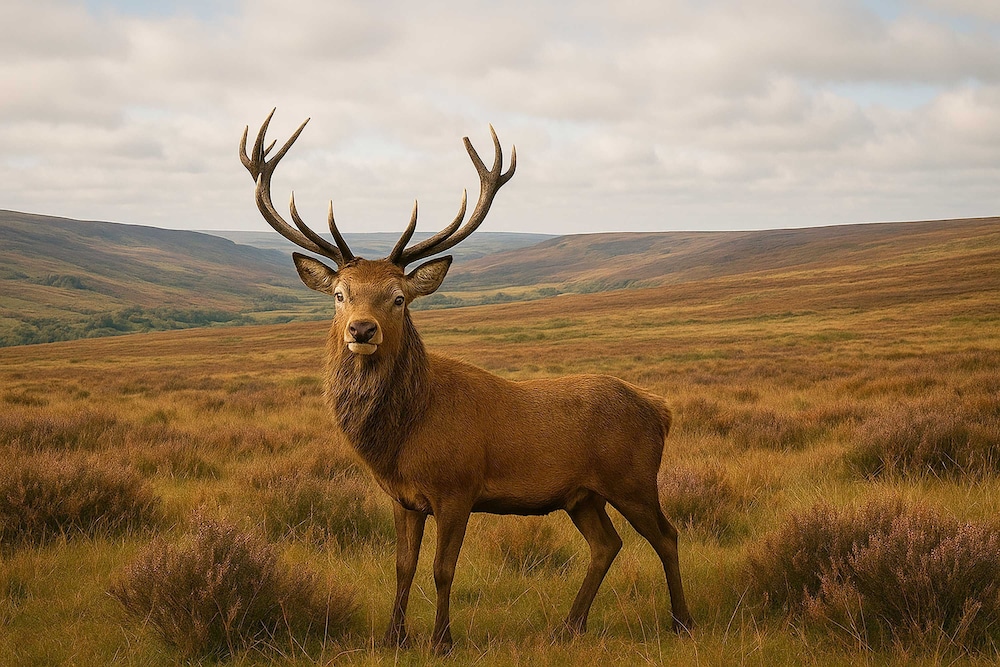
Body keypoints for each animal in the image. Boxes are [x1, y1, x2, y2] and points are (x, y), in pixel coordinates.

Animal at [240, 110, 693, 653]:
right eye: (339, 294)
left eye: (398, 298)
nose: (362, 330)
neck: (402, 438)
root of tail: (661, 408)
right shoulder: (403, 498)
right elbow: (402, 567)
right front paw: (393, 637)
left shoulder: (458, 488)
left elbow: (442, 569)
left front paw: (441, 640)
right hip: (584, 495)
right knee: (607, 544)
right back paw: (570, 625)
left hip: (634, 478)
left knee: (666, 535)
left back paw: (682, 621)